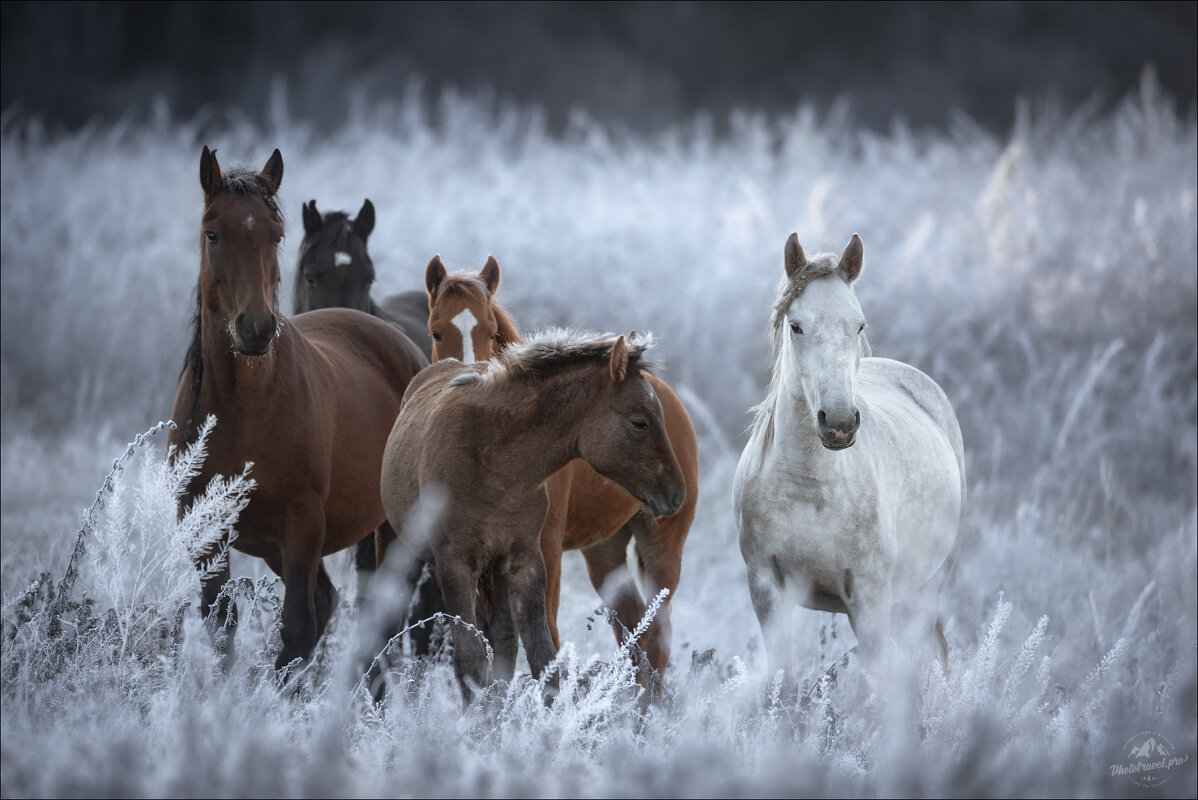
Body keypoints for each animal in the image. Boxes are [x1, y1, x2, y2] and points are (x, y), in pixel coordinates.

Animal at [378, 328, 690, 704]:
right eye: (640, 422)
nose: (676, 494)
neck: (495, 463)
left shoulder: (524, 559)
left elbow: (542, 656)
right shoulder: (455, 565)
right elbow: (470, 659)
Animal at [421, 255, 699, 689]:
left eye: (491, 331)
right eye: (436, 331)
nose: (467, 377)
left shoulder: (543, 550)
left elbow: (545, 635)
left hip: (663, 547)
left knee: (658, 636)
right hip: (605, 550)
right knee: (633, 629)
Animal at [728, 229, 963, 680]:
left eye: (859, 324)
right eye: (796, 326)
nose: (838, 423)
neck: (809, 487)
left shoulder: (868, 599)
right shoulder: (767, 589)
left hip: (926, 589)